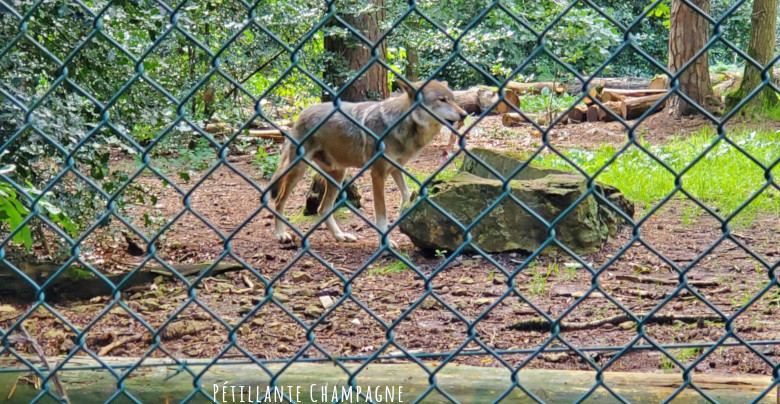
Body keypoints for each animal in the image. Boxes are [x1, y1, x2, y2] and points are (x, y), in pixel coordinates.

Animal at [268, 79, 466, 246]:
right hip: (298, 171)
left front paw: (404, 211)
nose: (464, 114)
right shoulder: (377, 173)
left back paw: (340, 236)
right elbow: (381, 213)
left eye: (454, 99)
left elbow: (406, 193)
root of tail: (302, 113)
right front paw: (386, 242)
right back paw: (281, 235)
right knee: (279, 202)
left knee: (323, 209)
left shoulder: (396, 169)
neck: (401, 124)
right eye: (442, 100)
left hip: (339, 175)